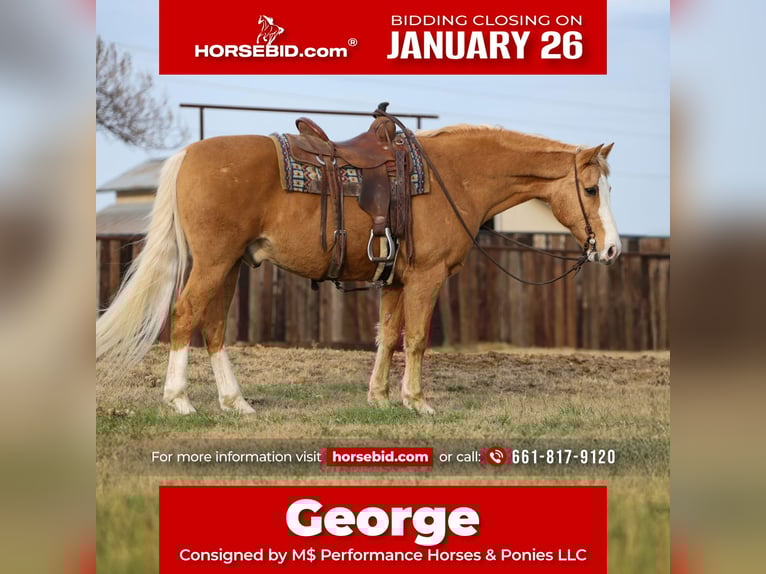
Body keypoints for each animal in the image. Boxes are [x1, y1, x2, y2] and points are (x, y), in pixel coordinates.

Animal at [96, 119, 620, 416]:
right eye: (592, 189)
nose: (612, 248)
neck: (453, 177)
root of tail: (188, 154)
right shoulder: (427, 278)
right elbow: (416, 339)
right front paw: (417, 402)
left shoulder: (395, 282)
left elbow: (387, 336)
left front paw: (380, 398)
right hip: (213, 262)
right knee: (186, 315)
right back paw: (179, 400)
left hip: (229, 266)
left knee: (215, 327)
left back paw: (236, 403)